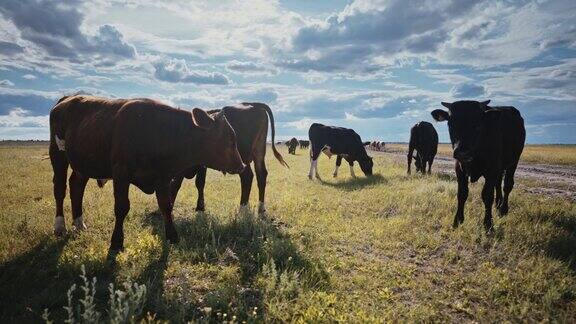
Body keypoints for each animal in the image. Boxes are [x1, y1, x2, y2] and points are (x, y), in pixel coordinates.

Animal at [49, 94, 245, 251]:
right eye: (230, 139)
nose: (241, 165)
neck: (158, 132)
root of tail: (67, 98)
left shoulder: (163, 177)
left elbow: (166, 206)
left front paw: (172, 236)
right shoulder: (121, 173)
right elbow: (121, 207)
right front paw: (116, 242)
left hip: (82, 164)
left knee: (76, 186)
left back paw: (79, 223)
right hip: (58, 155)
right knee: (60, 189)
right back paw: (60, 226)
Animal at [432, 100, 528, 232]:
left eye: (477, 125)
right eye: (450, 124)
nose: (463, 152)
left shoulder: (492, 169)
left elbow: (487, 196)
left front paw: (488, 224)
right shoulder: (460, 169)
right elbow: (462, 194)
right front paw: (457, 221)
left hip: (513, 162)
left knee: (507, 185)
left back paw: (503, 209)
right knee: (498, 184)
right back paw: (498, 204)